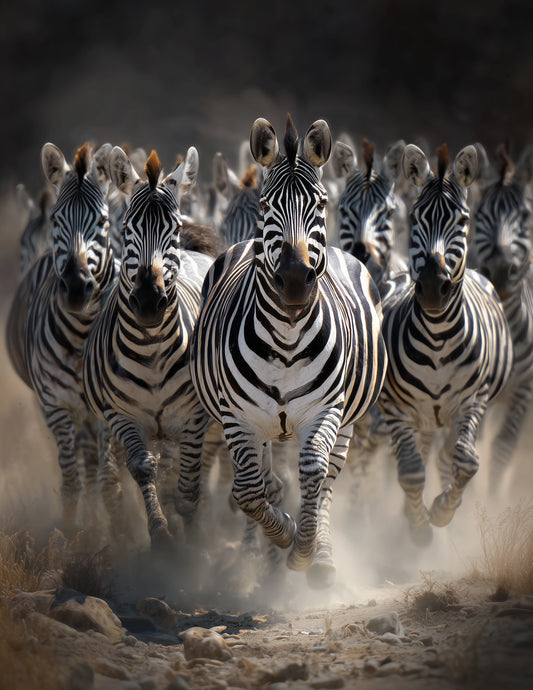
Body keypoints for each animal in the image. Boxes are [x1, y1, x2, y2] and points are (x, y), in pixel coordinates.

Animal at [5, 141, 116, 531]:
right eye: (58, 220)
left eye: (103, 222)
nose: (77, 289)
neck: (81, 335)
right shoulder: (55, 406)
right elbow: (71, 480)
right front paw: (73, 534)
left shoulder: (106, 409)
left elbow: (107, 478)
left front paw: (118, 531)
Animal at [82, 146, 218, 550]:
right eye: (127, 228)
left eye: (173, 230)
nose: (147, 302)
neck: (152, 349)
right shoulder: (121, 415)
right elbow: (144, 469)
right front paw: (161, 535)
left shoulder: (193, 418)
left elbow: (188, 487)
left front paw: (193, 545)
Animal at [190, 115, 387, 588]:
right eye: (267, 205)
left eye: (320, 203)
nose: (296, 281)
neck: (286, 339)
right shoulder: (238, 417)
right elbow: (248, 491)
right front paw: (283, 535)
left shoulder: (327, 410)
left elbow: (314, 473)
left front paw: (304, 552)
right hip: (260, 426)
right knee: (266, 481)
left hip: (348, 418)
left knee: (328, 478)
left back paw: (323, 557)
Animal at [377, 143, 513, 545]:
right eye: (415, 218)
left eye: (463, 221)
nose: (433, 288)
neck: (437, 339)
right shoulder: (394, 407)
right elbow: (410, 471)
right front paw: (419, 528)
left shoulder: (474, 401)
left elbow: (466, 462)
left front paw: (441, 511)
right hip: (423, 416)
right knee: (421, 456)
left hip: (453, 415)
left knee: (447, 456)